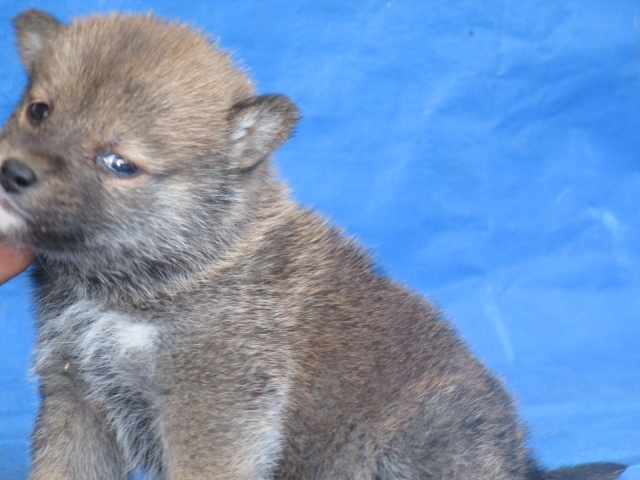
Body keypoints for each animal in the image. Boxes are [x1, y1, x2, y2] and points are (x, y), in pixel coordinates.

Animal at [0, 9, 626, 480]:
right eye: (39, 110)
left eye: (119, 163)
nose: (14, 173)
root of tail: (521, 464)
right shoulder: (77, 397)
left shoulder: (213, 404)